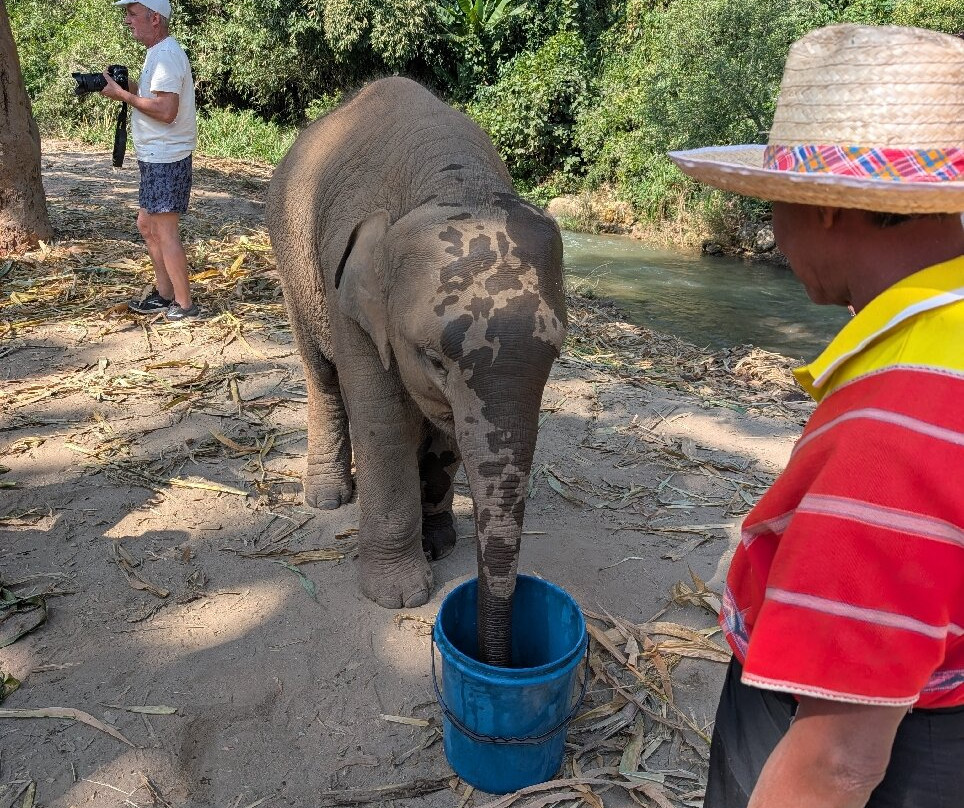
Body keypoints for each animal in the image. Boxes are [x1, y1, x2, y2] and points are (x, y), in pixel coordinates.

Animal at [265, 77, 567, 667]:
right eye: (433, 358)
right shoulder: (348, 296)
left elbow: (445, 433)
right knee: (321, 376)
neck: (451, 182)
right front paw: (397, 596)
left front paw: (440, 544)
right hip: (292, 264)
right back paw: (328, 497)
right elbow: (383, 423)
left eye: (556, 354)